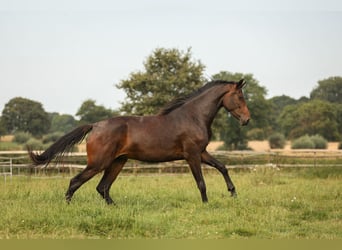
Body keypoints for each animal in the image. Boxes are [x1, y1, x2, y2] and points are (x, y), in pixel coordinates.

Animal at [28, 79, 250, 204]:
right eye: (240, 96)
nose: (247, 120)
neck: (194, 116)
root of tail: (95, 126)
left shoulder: (202, 152)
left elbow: (222, 167)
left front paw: (233, 193)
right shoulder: (192, 155)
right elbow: (201, 182)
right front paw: (206, 205)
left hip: (117, 162)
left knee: (102, 187)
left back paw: (115, 208)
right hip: (99, 163)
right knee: (76, 182)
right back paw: (67, 206)